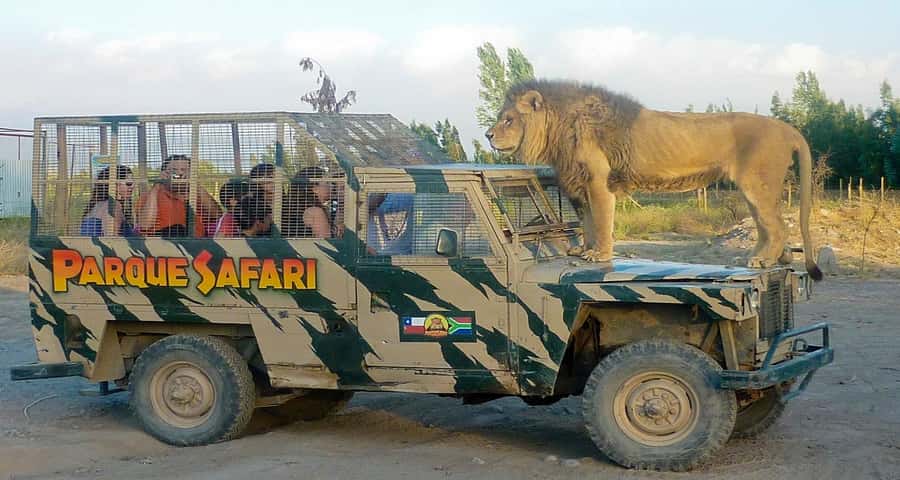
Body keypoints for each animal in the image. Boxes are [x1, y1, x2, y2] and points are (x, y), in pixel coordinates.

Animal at [486, 79, 822, 280]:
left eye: (508, 120)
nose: (488, 135)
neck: (559, 128)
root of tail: (788, 128)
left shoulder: (598, 181)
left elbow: (602, 220)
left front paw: (599, 255)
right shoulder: (580, 182)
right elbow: (588, 222)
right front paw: (583, 250)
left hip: (757, 185)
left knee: (778, 226)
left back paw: (763, 261)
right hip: (754, 189)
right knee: (767, 227)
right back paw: (761, 258)